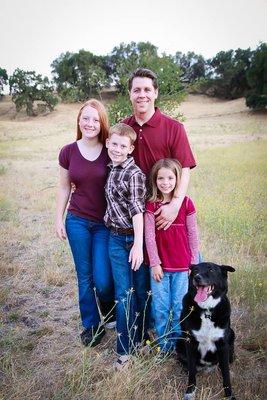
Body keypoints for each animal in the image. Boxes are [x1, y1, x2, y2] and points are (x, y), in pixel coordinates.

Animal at [177, 262, 238, 400]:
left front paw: (229, 395)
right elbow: (192, 373)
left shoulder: (223, 345)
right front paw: (190, 392)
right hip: (179, 342)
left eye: (211, 270)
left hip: (232, 335)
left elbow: (226, 375)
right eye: (195, 270)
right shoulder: (190, 342)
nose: (197, 278)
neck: (207, 311)